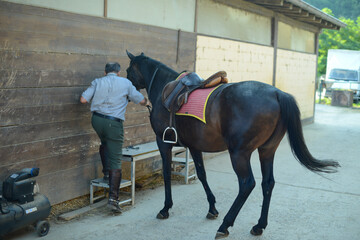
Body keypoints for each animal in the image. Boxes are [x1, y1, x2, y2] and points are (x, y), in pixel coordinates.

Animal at [126, 51, 340, 239]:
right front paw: (212, 208)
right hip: (267, 151)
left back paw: (225, 226)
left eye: (128, 70)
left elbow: (166, 174)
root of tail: (277, 93)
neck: (165, 88)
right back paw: (259, 226)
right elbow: (202, 174)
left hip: (239, 153)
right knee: (267, 183)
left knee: (247, 184)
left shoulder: (163, 143)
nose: (129, 89)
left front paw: (165, 208)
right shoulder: (194, 146)